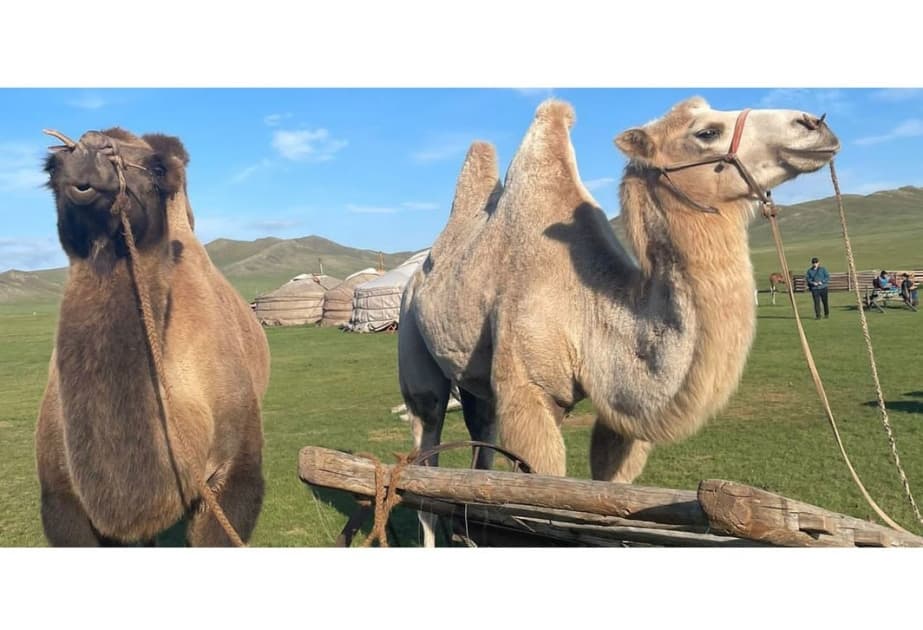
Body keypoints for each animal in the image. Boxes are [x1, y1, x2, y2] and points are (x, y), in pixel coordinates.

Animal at [399, 97, 839, 522]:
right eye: (706, 132)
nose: (814, 124)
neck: (593, 307)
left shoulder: (619, 417)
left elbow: (609, 488)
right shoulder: (530, 392)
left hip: (477, 384)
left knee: (479, 447)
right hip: (414, 346)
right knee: (425, 453)